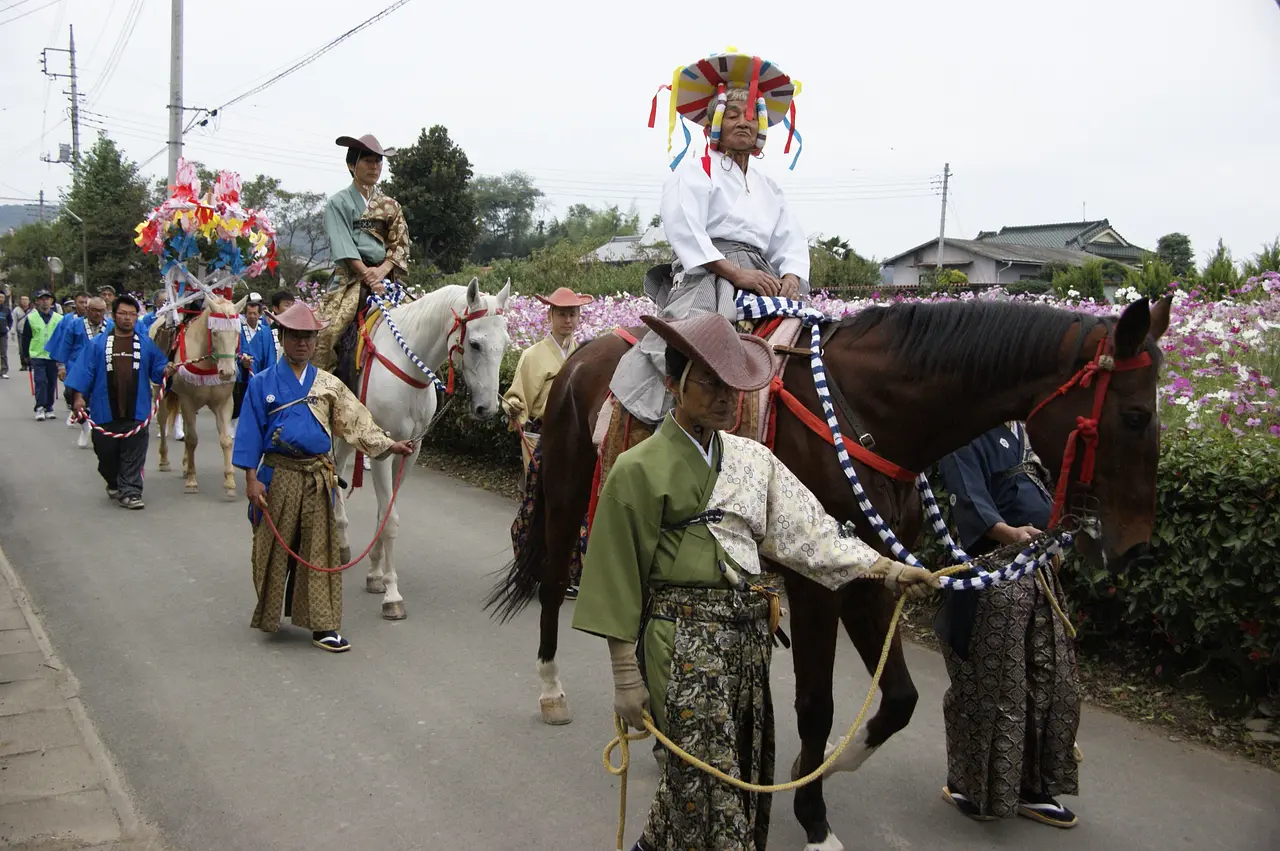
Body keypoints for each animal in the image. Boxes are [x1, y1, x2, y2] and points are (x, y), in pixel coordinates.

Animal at [148, 291, 243, 499]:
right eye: (214, 332)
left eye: (237, 333)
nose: (227, 372)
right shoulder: (188, 400)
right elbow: (192, 439)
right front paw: (192, 481)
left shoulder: (224, 403)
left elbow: (225, 440)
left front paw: (230, 482)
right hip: (160, 389)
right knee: (163, 420)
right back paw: (165, 460)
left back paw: (185, 465)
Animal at [335, 281, 509, 621]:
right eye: (475, 344)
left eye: (506, 344)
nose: (487, 408)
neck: (407, 373)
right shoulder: (382, 448)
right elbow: (390, 520)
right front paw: (392, 595)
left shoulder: (411, 450)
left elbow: (384, 512)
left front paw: (375, 574)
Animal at [488, 295, 1172, 844]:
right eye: (1135, 416)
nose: (1135, 548)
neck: (873, 413)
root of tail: (581, 353)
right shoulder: (815, 583)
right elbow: (816, 704)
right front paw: (814, 818)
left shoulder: (866, 573)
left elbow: (901, 699)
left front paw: (817, 768)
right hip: (569, 490)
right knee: (553, 587)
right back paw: (552, 691)